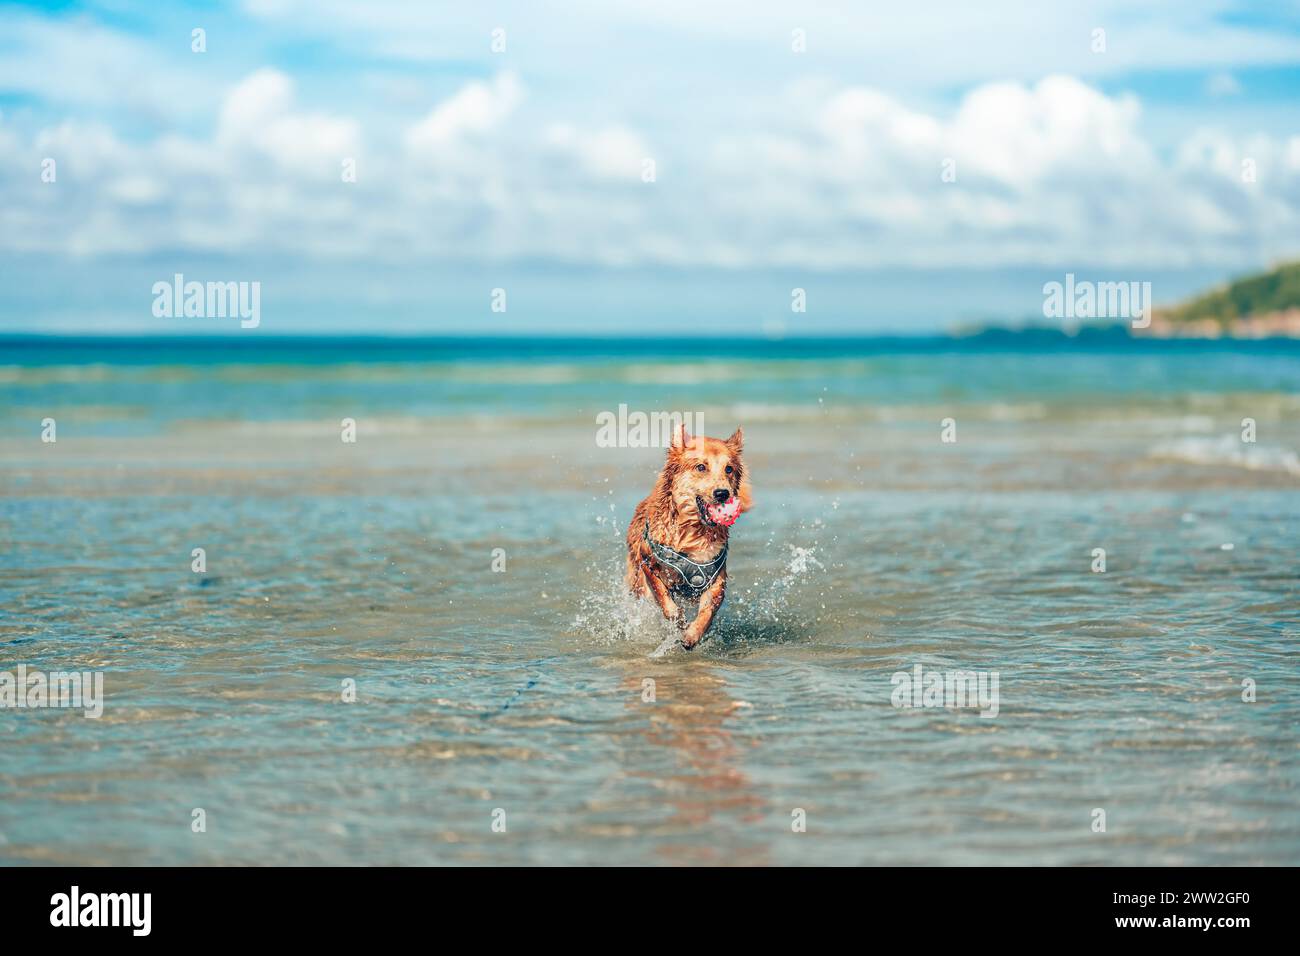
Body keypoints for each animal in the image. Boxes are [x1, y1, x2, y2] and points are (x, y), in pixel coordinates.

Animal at [621, 426, 748, 650]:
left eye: (729, 469)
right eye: (701, 467)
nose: (722, 493)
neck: (692, 533)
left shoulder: (715, 576)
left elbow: (709, 609)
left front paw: (692, 634)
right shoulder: (648, 560)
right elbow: (662, 595)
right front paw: (678, 619)